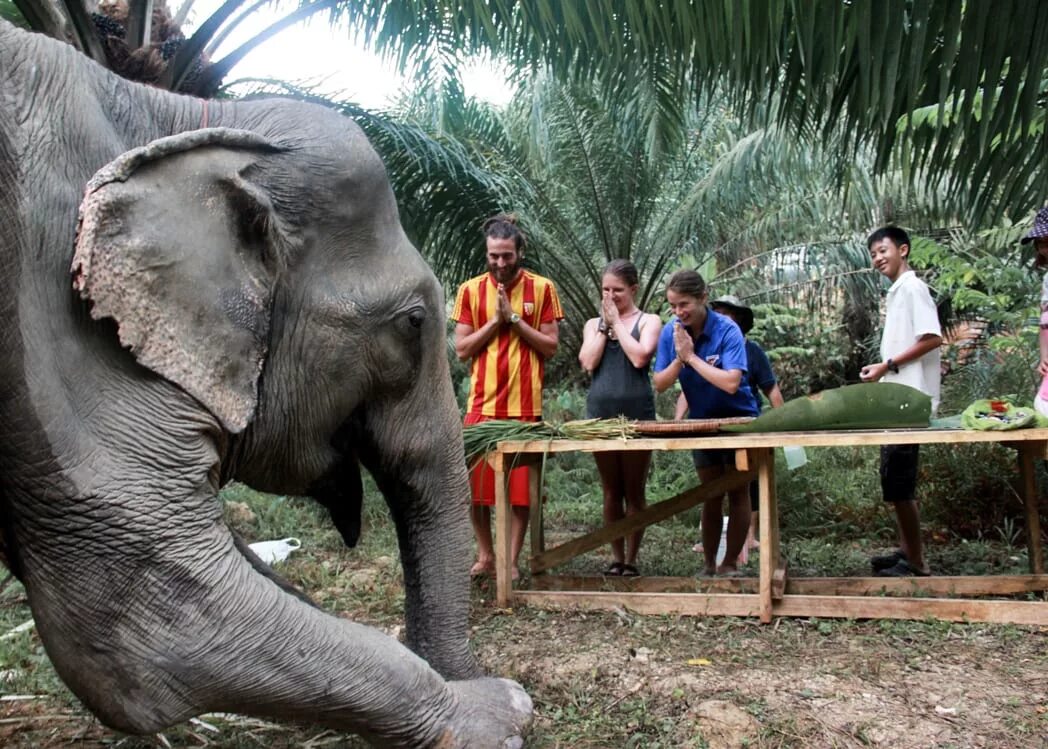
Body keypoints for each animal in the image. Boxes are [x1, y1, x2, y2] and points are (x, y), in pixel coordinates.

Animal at [2, 18, 532, 749]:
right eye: (414, 322)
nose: (477, 674)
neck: (162, 114)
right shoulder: (54, 315)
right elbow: (145, 624)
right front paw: (502, 711)